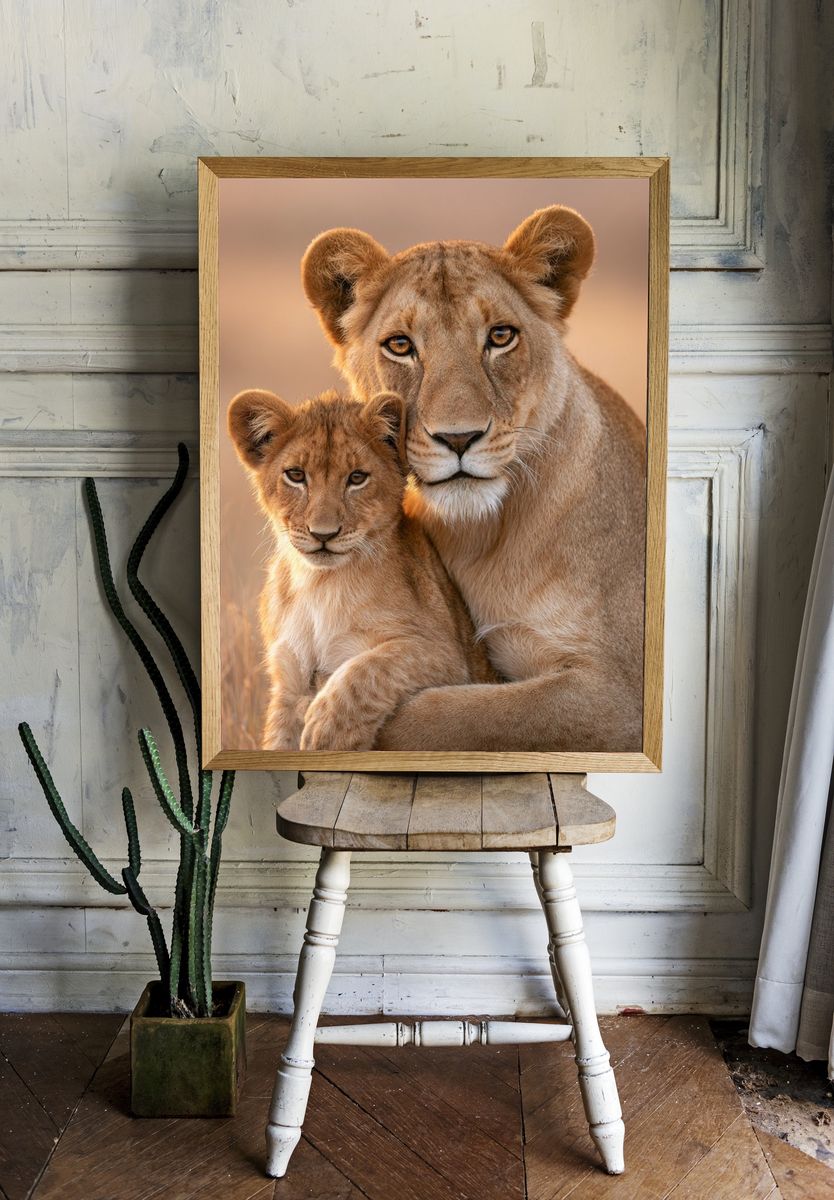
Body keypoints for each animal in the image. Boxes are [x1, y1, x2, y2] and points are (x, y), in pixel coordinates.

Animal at [227, 387, 494, 751]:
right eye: (295, 475)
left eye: (356, 478)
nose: (323, 535)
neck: (318, 584)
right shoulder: (288, 681)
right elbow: (278, 742)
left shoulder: (446, 655)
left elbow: (370, 668)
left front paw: (327, 730)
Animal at [300, 205, 647, 751]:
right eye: (400, 345)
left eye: (500, 336)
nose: (459, 438)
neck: (482, 537)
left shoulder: (622, 697)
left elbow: (463, 715)